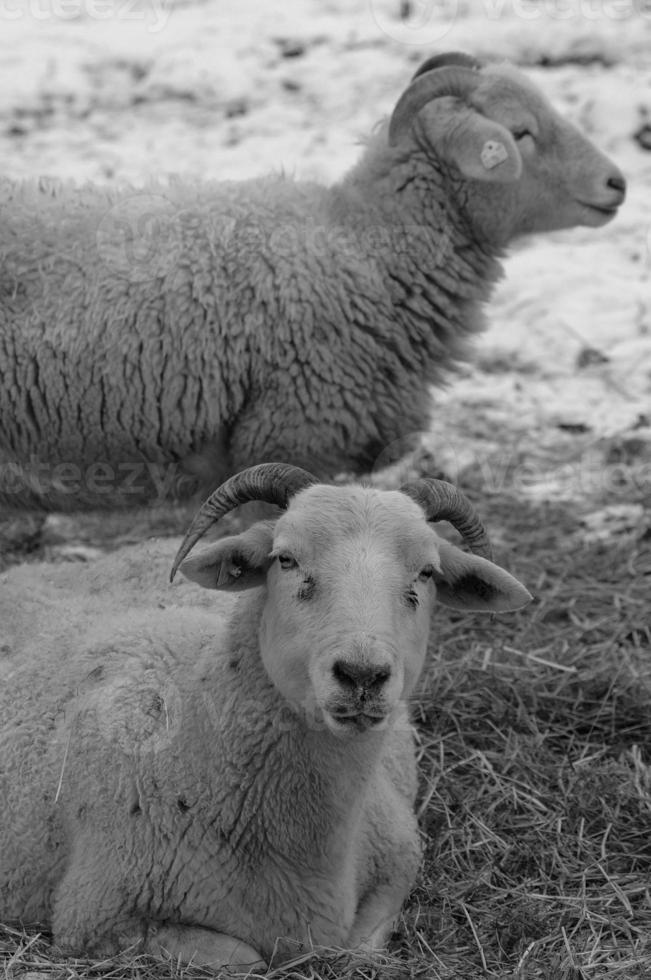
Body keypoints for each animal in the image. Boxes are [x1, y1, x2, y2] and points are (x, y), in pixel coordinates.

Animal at [0, 464, 532, 968]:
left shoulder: (398, 862)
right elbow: (248, 960)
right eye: (286, 559)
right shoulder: (94, 917)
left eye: (426, 573)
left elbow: (359, 949)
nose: (362, 674)